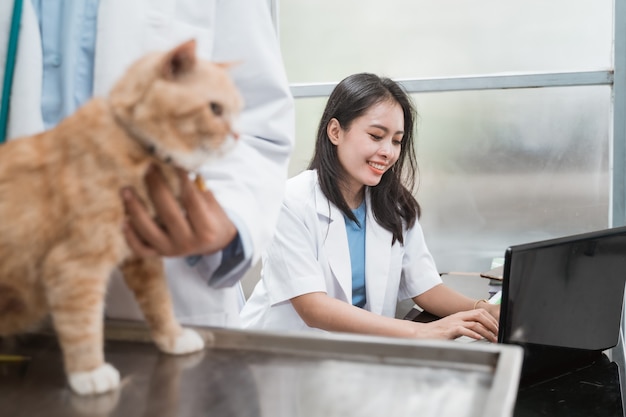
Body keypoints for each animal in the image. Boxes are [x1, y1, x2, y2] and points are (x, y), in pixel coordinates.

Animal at [0, 40, 241, 394]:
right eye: (215, 109)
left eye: (239, 111)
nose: (238, 136)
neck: (138, 149)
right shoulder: (75, 265)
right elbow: (82, 323)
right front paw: (89, 371)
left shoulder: (142, 255)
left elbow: (159, 301)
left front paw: (173, 337)